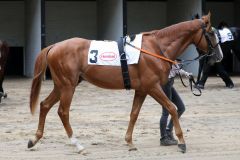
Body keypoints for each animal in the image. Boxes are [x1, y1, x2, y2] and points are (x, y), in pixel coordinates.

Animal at [27, 12, 221, 152]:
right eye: (211, 33)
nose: (219, 56)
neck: (155, 48)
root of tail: (54, 46)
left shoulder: (142, 90)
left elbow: (134, 114)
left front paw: (129, 141)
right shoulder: (153, 87)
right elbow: (172, 108)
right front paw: (181, 142)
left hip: (61, 86)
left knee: (45, 105)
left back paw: (34, 139)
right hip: (68, 86)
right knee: (63, 112)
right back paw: (77, 145)